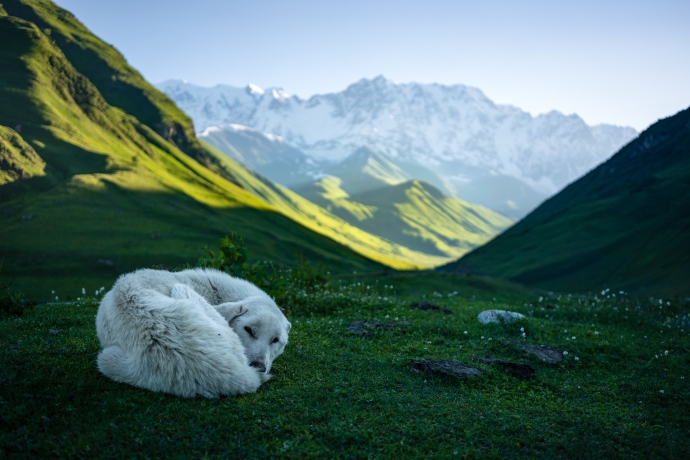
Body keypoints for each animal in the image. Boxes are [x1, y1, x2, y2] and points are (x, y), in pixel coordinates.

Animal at [94, 268, 290, 398]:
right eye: (248, 329)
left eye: (275, 340)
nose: (259, 366)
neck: (216, 291)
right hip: (183, 291)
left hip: (109, 360)